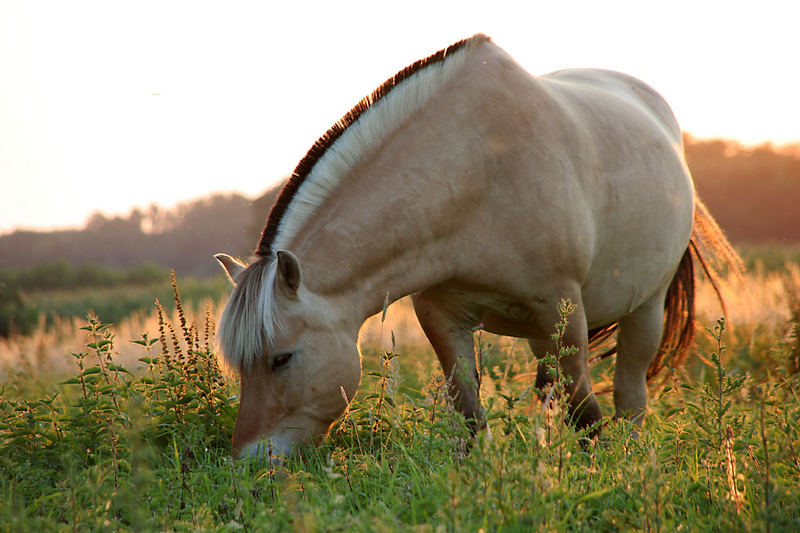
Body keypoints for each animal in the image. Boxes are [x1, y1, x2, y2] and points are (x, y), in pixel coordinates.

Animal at [211, 33, 736, 458]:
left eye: (281, 359)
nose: (250, 459)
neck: (478, 169)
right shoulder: (441, 316)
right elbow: (468, 410)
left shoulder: (563, 307)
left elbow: (584, 411)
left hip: (643, 309)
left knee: (629, 398)